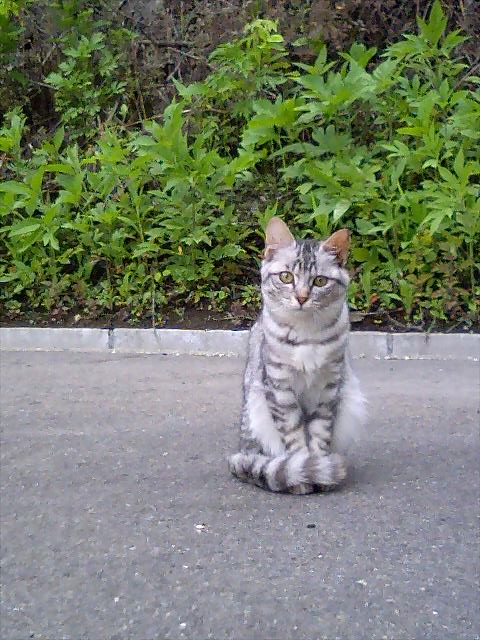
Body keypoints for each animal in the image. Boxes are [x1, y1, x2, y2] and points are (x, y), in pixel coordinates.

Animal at [228, 217, 366, 494]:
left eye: (320, 281)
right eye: (286, 277)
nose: (301, 297)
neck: (306, 334)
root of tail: (242, 450)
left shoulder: (329, 387)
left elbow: (320, 434)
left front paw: (320, 470)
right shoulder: (280, 387)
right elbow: (294, 437)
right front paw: (303, 475)